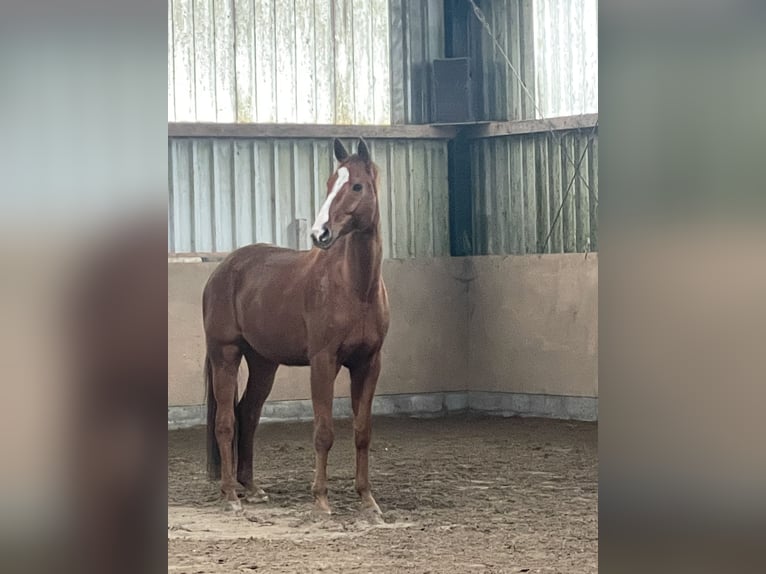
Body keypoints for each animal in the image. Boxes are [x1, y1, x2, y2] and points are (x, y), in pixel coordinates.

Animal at [204, 138, 390, 516]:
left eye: (356, 186)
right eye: (330, 183)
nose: (320, 233)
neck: (355, 287)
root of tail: (223, 270)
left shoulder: (368, 363)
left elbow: (362, 431)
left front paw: (367, 499)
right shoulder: (323, 361)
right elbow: (324, 431)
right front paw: (320, 499)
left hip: (263, 362)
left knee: (248, 413)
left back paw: (251, 487)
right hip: (224, 355)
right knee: (226, 422)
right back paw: (230, 495)